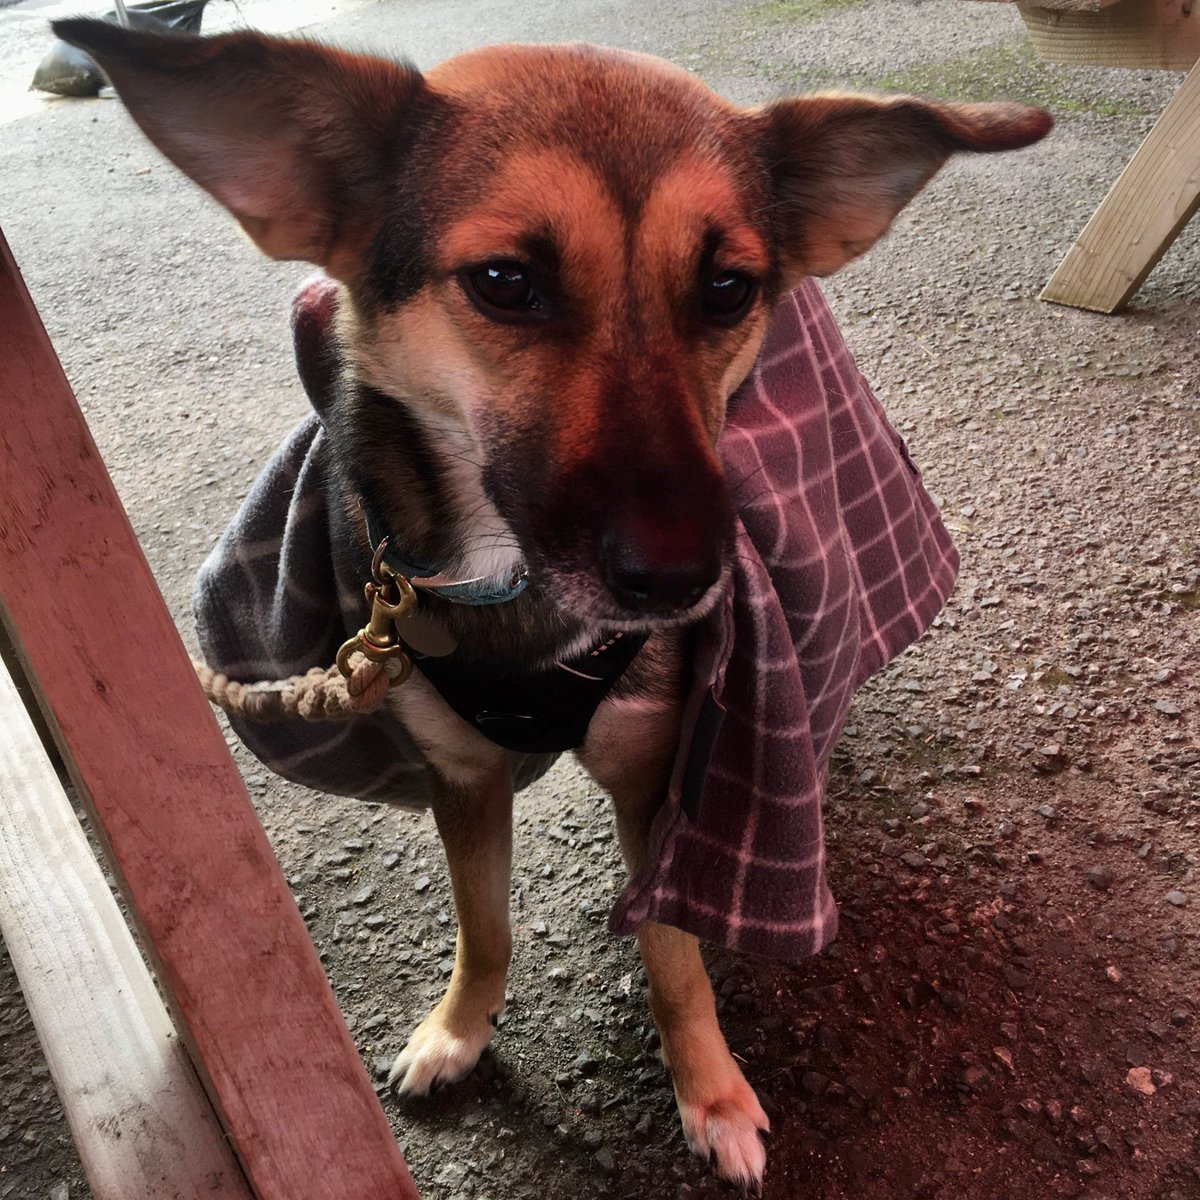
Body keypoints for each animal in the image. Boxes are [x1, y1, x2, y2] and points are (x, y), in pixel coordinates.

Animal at [56, 21, 1051, 1190]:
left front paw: (710, 1092)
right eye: (505, 281)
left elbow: (672, 952)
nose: (686, 578)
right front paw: (459, 1030)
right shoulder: (463, 777)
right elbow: (484, 925)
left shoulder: (659, 777)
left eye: (726, 288)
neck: (511, 589)